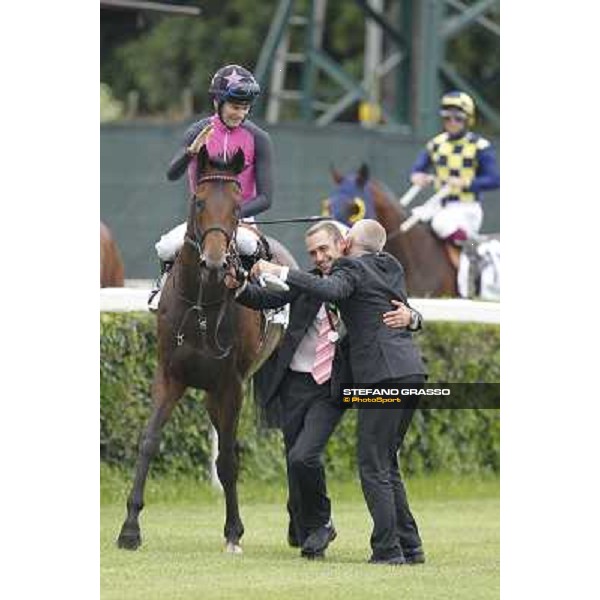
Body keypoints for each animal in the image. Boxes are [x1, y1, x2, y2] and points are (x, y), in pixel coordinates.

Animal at [116, 144, 296, 552]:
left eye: (237, 205)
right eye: (198, 201)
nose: (214, 262)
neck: (202, 303)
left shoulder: (231, 385)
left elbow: (227, 458)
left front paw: (233, 532)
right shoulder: (169, 376)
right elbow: (149, 441)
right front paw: (130, 528)